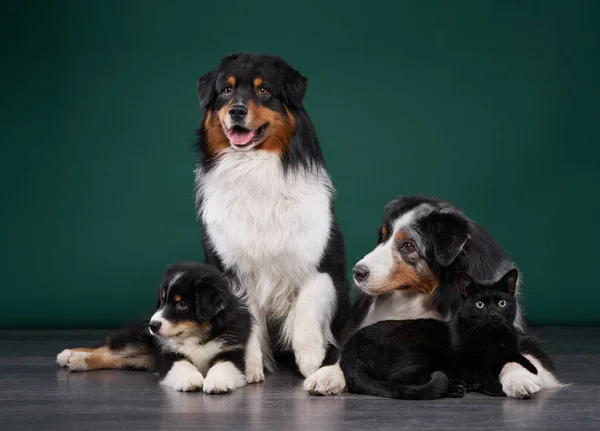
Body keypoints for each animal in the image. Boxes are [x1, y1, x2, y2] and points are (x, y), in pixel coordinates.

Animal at [195, 52, 350, 384]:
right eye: (226, 90)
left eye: (264, 90)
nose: (237, 110)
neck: (254, 168)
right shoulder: (233, 271)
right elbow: (249, 323)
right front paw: (252, 367)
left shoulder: (322, 263)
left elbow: (306, 308)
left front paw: (311, 361)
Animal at [458, 270, 536, 398]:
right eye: (480, 304)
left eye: (501, 303)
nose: (493, 315)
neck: (493, 337)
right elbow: (481, 374)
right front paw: (495, 388)